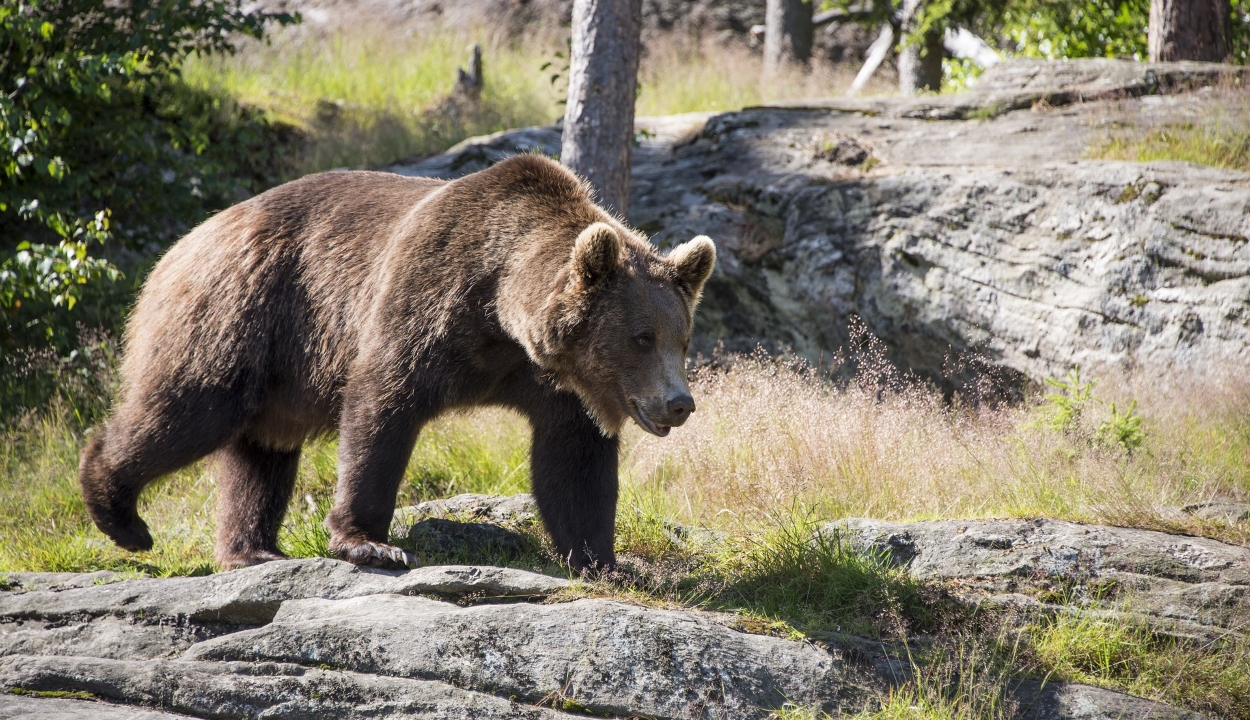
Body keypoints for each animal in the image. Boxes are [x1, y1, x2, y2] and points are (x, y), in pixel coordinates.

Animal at [80, 155, 715, 570]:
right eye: (641, 337)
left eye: (682, 338)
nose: (679, 404)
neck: (500, 313)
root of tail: (186, 240)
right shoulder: (425, 301)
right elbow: (382, 406)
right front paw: (370, 541)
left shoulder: (552, 380)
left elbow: (574, 460)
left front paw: (601, 559)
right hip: (241, 313)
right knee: (189, 409)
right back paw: (120, 513)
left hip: (277, 371)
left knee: (262, 451)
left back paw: (252, 548)